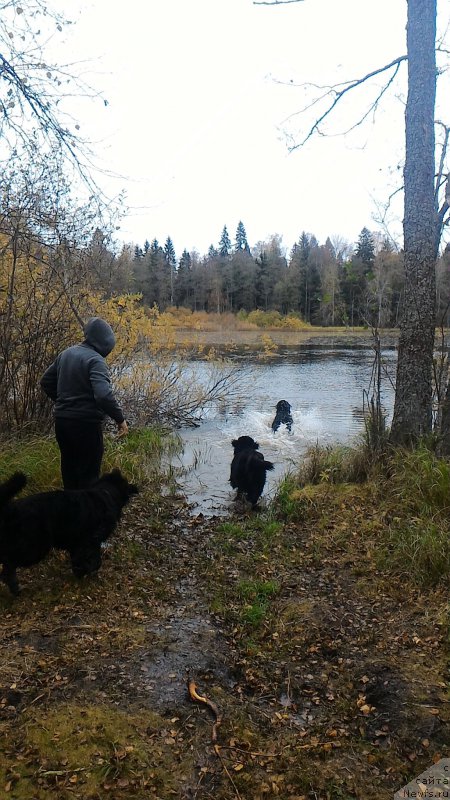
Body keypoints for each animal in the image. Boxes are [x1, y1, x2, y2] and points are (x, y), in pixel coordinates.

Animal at [0, 468, 139, 592]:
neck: (105, 492)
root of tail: (10, 509)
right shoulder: (90, 541)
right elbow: (95, 561)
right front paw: (85, 570)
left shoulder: (77, 544)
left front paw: (79, 571)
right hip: (35, 548)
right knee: (9, 562)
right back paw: (13, 586)